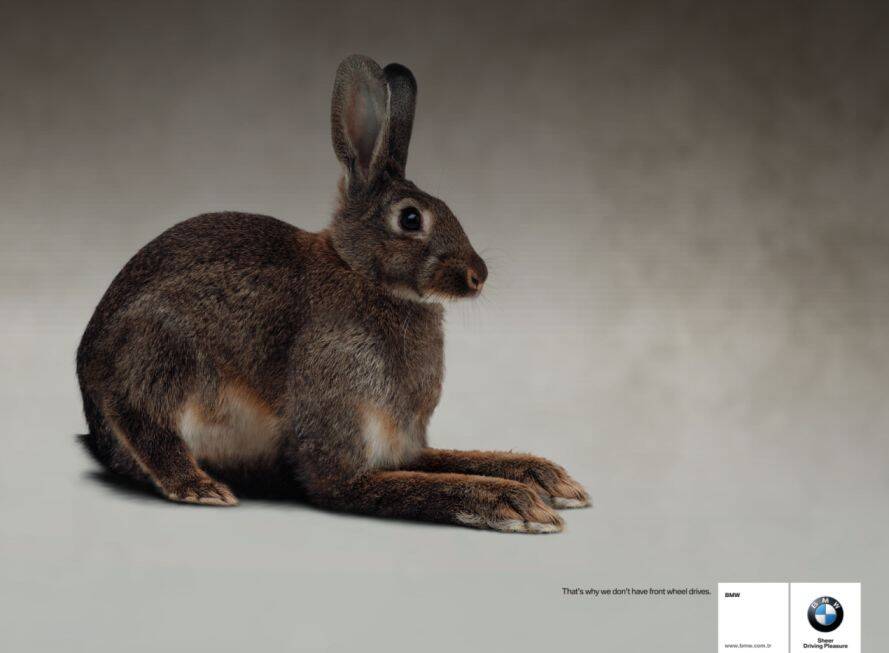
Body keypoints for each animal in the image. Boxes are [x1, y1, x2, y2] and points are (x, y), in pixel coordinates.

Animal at [76, 54, 590, 533]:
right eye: (410, 218)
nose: (477, 275)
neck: (360, 274)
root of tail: (87, 385)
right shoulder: (339, 431)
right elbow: (400, 487)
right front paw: (512, 503)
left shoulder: (401, 445)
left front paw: (548, 481)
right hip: (163, 355)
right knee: (143, 419)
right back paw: (199, 486)